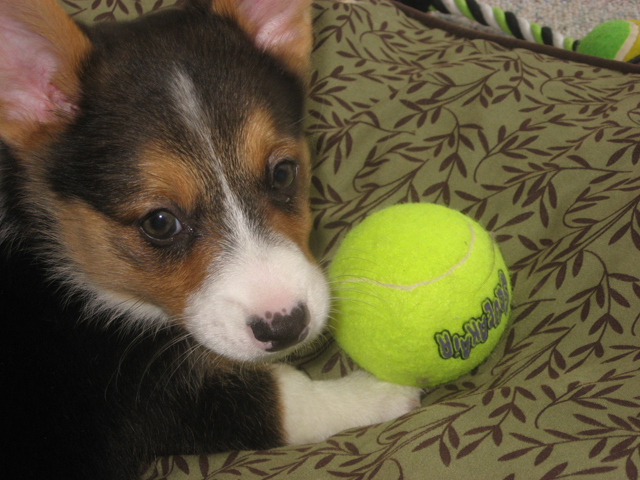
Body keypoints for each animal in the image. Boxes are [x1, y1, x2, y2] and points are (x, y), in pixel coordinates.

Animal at [0, 0, 422, 478]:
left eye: (282, 173)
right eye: (159, 223)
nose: (286, 326)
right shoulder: (160, 394)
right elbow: (289, 399)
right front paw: (382, 390)